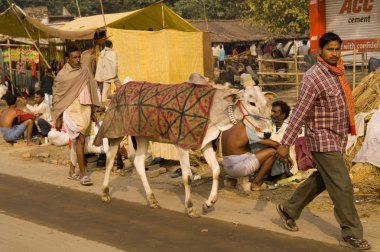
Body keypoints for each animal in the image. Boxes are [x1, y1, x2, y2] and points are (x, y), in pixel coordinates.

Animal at [98, 83, 270, 218]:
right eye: (251, 102)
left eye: (265, 103)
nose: (268, 133)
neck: (214, 112)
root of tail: (121, 88)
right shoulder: (182, 145)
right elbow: (187, 177)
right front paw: (190, 207)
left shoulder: (206, 144)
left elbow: (216, 170)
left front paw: (209, 203)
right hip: (115, 133)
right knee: (110, 160)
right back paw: (105, 193)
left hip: (142, 136)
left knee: (139, 162)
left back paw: (152, 199)